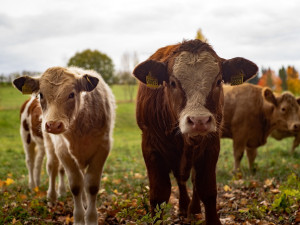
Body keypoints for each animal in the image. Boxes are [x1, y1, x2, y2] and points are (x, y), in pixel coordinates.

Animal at [13, 67, 115, 225]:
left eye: (71, 94)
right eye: (41, 94)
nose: (53, 125)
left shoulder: (102, 148)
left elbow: (91, 185)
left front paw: (90, 217)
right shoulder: (63, 150)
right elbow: (76, 185)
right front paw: (79, 219)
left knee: (42, 163)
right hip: (30, 138)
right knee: (43, 165)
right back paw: (43, 192)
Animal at [134, 39, 258, 224]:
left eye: (219, 81)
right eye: (173, 83)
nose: (199, 121)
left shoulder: (211, 145)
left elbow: (207, 189)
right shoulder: (151, 147)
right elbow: (159, 195)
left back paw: (193, 209)